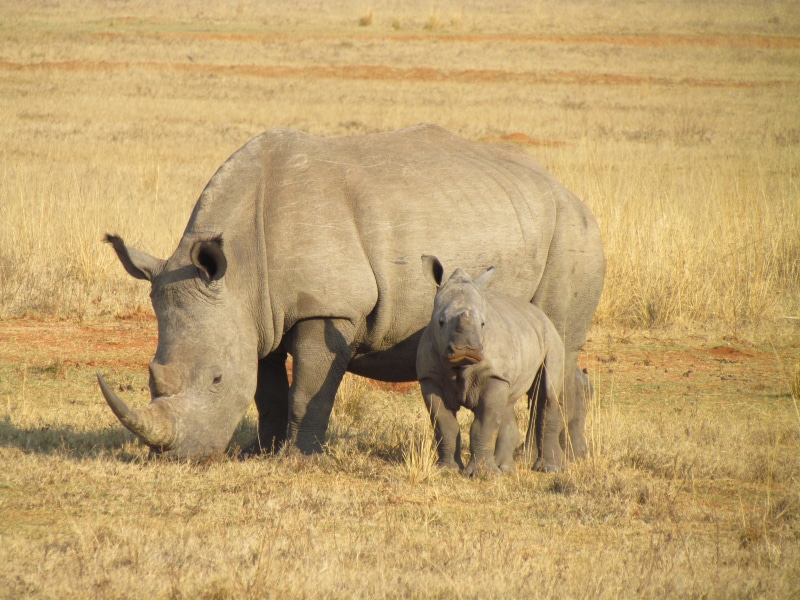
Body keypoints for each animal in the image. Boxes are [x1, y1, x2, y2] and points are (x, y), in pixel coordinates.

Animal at [416, 256, 573, 475]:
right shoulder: (430, 377)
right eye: (440, 322)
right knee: (507, 405)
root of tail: (539, 313)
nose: (466, 349)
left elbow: (485, 423)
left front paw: (483, 474)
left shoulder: (494, 374)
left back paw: (549, 469)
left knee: (546, 394)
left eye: (483, 324)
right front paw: (446, 470)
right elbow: (445, 425)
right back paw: (506, 469)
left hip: (552, 338)